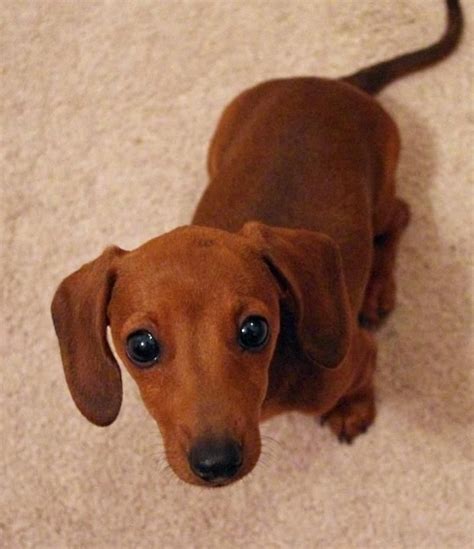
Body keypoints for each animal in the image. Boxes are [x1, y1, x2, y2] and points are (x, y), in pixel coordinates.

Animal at [51, 1, 462, 488]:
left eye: (254, 330)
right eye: (141, 346)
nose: (216, 463)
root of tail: (336, 83)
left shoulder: (356, 354)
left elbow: (364, 376)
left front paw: (353, 409)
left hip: (380, 196)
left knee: (400, 215)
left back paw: (378, 289)